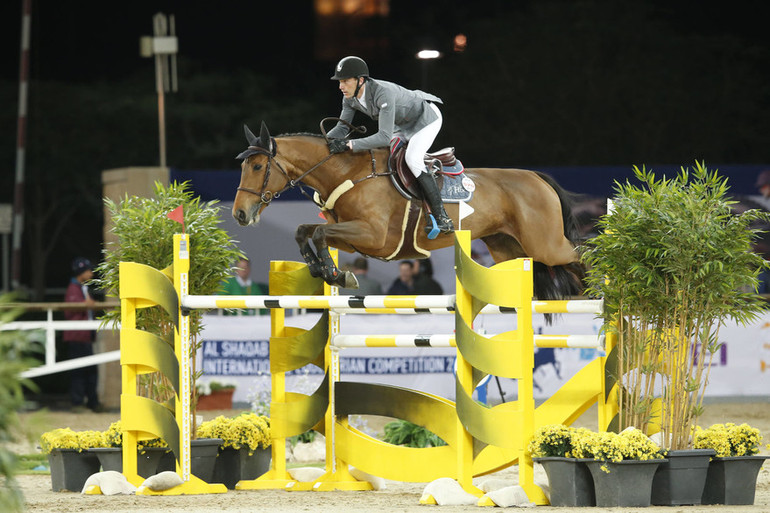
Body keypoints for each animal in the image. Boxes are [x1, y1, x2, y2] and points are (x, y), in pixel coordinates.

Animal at [231, 122, 580, 300]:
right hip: (508, 248)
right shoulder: (355, 239)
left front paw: (334, 273)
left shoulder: (373, 235)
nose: (239, 215)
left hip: (546, 246)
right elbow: (305, 231)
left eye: (258, 166)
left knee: (580, 256)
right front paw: (324, 270)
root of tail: (537, 177)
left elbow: (318, 231)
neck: (346, 172)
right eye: (244, 166)